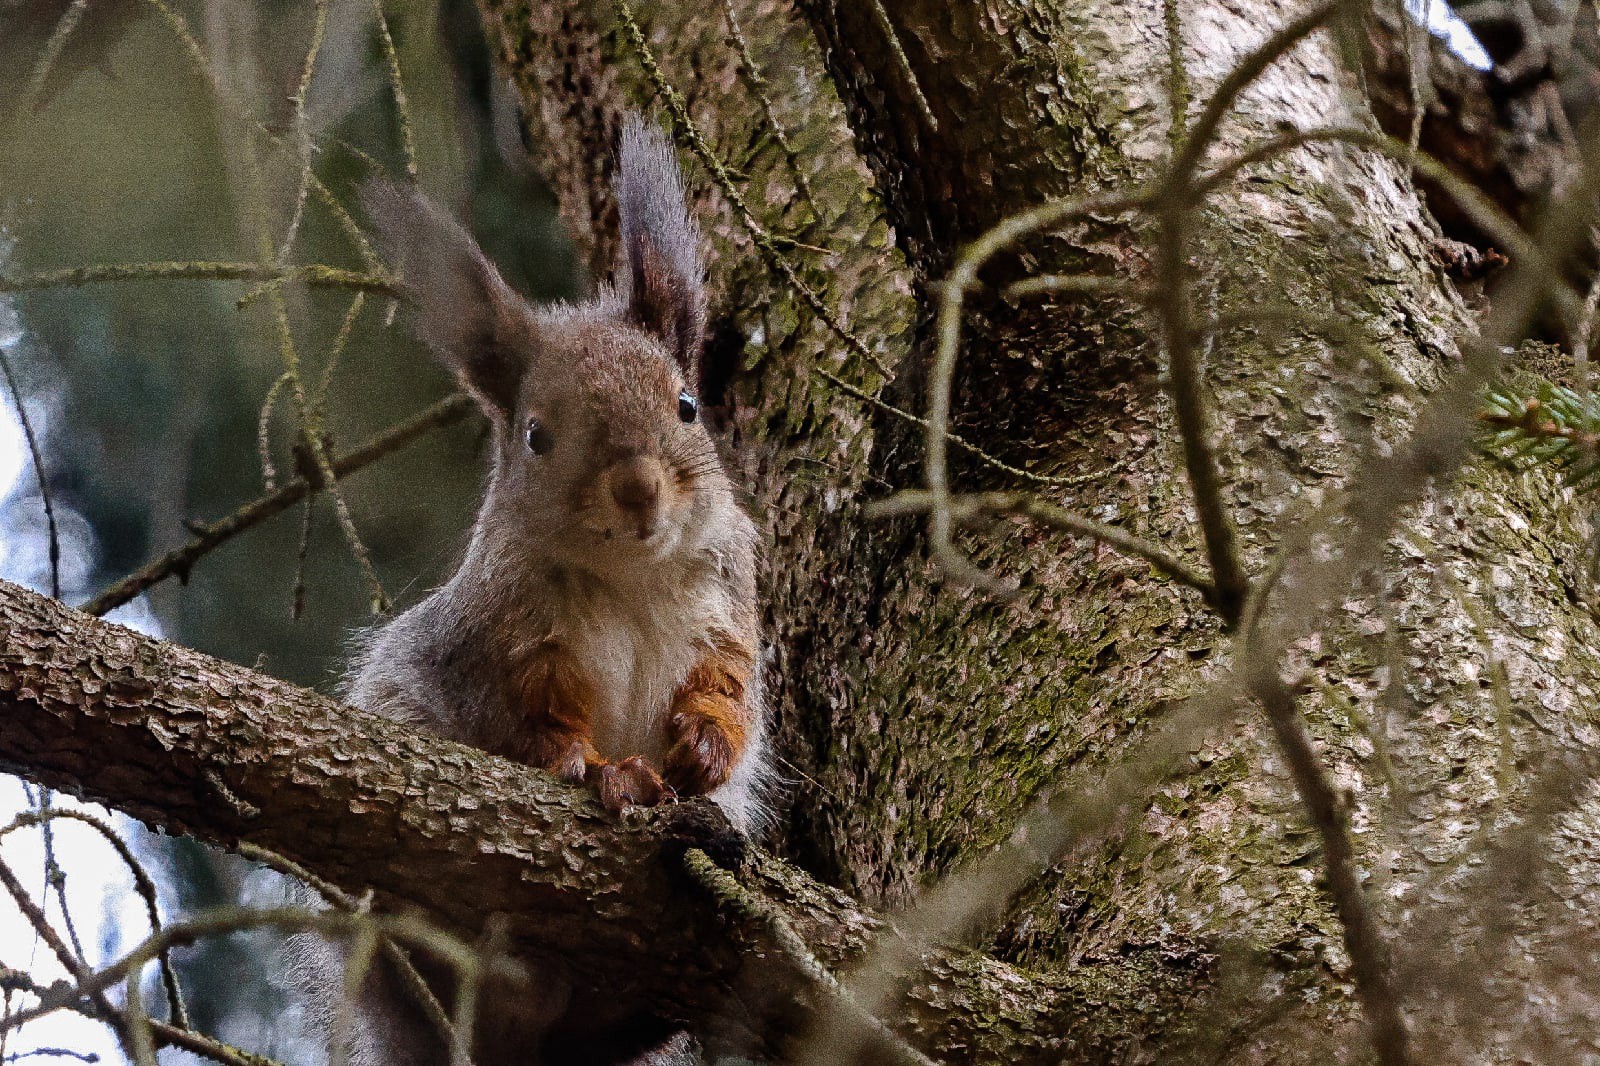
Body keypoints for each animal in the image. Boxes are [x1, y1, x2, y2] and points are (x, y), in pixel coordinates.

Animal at [304, 116, 774, 1062]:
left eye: (688, 405)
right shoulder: (503, 641)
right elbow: (532, 720)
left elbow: (729, 689)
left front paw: (704, 745)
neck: (631, 576)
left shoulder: (728, 607)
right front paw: (603, 771)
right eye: (534, 434)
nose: (636, 487)